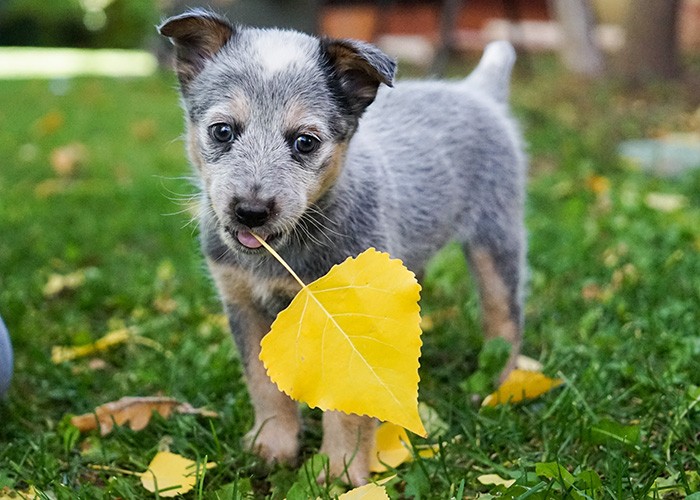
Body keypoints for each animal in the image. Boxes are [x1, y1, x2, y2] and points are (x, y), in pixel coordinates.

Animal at [156, 9, 524, 486]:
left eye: (305, 141)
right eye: (222, 131)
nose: (251, 211)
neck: (289, 255)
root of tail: (475, 90)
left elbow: (349, 409)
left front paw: (339, 474)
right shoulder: (243, 304)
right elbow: (262, 385)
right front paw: (273, 447)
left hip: (496, 238)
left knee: (505, 316)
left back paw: (501, 387)